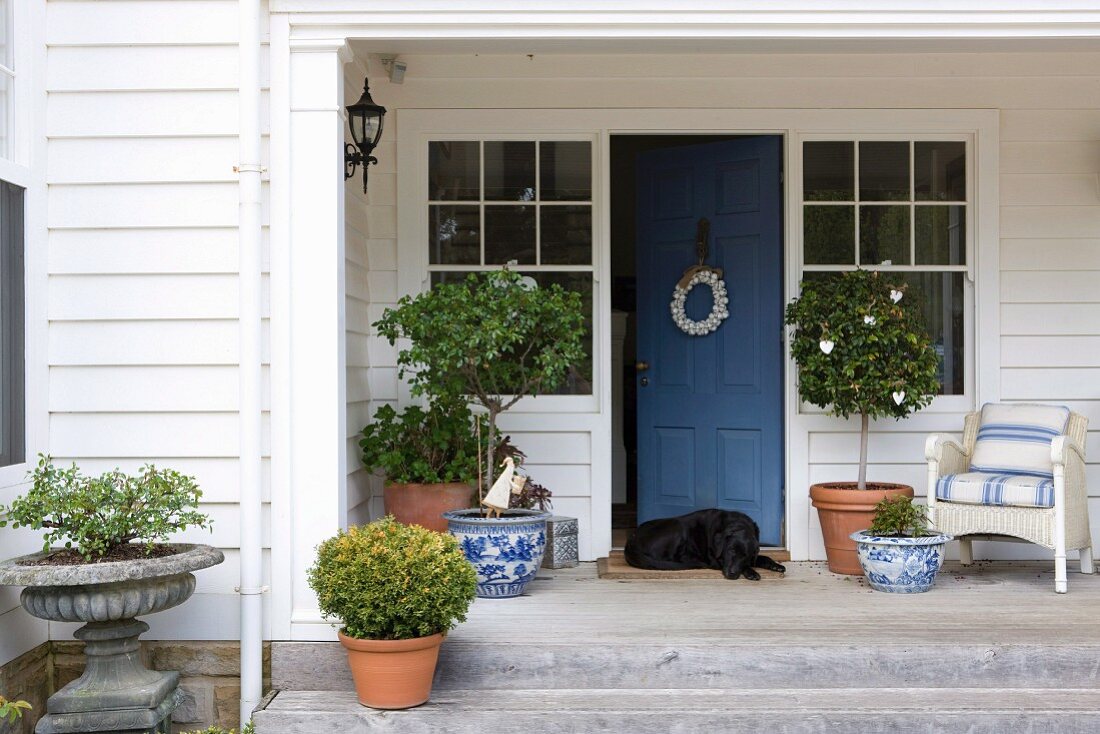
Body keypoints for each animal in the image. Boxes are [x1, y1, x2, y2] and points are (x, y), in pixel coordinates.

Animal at [624, 510, 787, 581]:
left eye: (745, 555)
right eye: (730, 550)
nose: (732, 573)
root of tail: (630, 541)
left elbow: (761, 557)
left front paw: (775, 565)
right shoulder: (717, 559)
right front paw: (751, 572)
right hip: (677, 527)